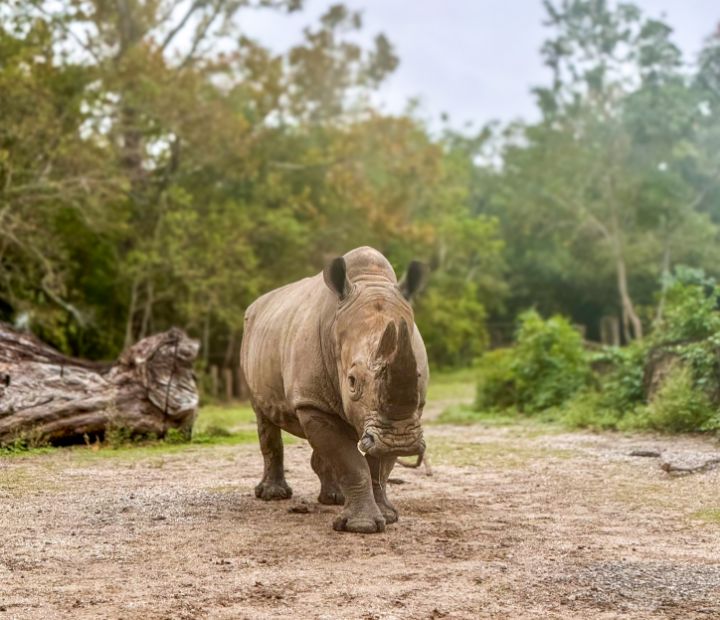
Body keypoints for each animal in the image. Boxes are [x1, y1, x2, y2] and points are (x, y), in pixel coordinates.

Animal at [240, 246, 428, 533]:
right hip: (251, 342)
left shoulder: (399, 417)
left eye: (418, 376)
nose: (401, 441)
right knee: (264, 417)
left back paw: (334, 499)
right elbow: (350, 463)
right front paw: (361, 526)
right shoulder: (311, 401)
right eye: (351, 381)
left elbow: (379, 464)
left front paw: (388, 517)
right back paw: (273, 495)